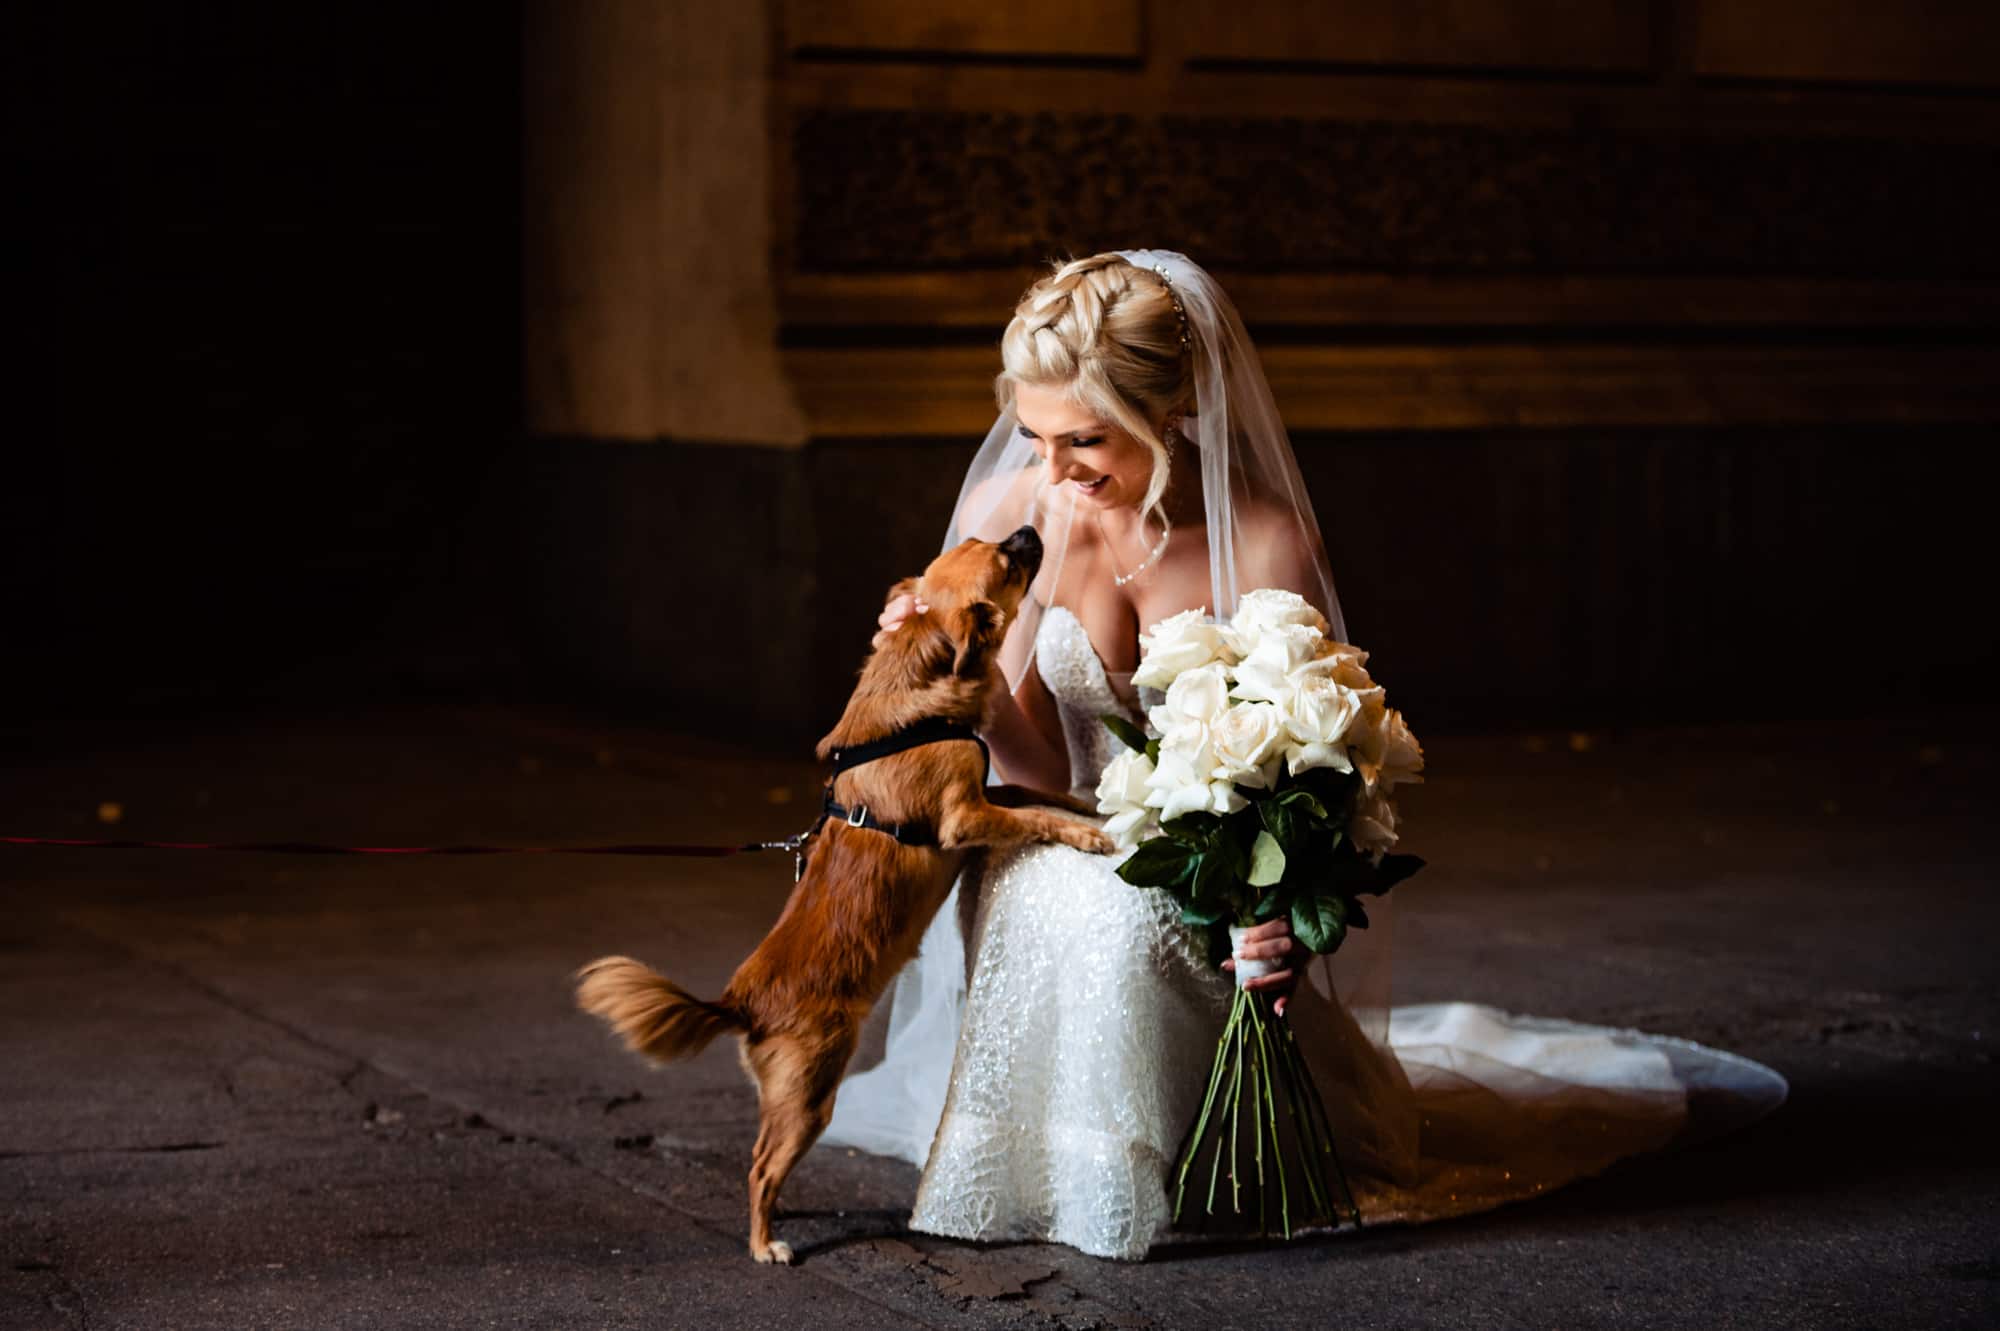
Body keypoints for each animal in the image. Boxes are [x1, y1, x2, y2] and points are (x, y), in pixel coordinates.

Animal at [576, 523, 1112, 1263]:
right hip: (813, 1095)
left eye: (988, 539)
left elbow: (1031, 790)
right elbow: (1034, 815)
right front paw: (1086, 834)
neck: (918, 673)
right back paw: (766, 1243)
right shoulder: (964, 818)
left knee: (761, 1156)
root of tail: (738, 1005)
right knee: (760, 1167)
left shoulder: (984, 792)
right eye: (1007, 561)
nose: (1031, 530)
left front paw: (1088, 801)